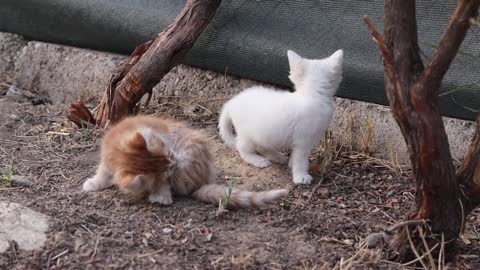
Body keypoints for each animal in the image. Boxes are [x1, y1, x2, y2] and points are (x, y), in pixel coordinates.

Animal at [82, 115, 288, 208]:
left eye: (170, 153)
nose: (174, 164)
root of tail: (202, 182)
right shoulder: (107, 160)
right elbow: (103, 173)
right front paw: (94, 183)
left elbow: (161, 185)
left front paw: (161, 196)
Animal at [218, 48, 342, 185]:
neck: (311, 95)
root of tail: (231, 103)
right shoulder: (303, 141)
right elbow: (301, 160)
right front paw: (300, 176)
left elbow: (294, 156)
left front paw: (291, 164)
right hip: (248, 135)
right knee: (243, 148)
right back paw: (258, 160)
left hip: (264, 133)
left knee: (262, 147)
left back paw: (277, 156)